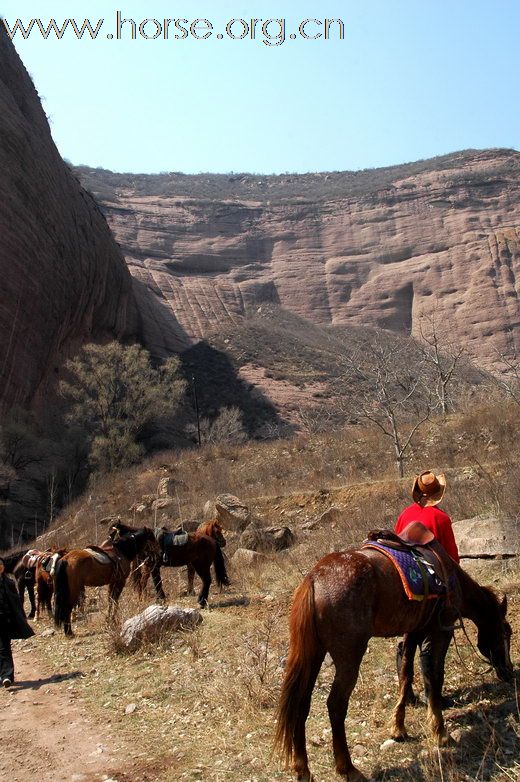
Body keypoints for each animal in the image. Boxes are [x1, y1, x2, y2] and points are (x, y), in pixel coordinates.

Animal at [274, 536, 512, 780]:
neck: (450, 575)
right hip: (349, 657)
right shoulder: (440, 631)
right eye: (506, 632)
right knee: (336, 705)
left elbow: (406, 674)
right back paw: (348, 768)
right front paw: (440, 732)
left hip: (314, 654)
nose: (509, 672)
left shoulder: (414, 631)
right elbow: (433, 676)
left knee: (301, 704)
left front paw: (399, 728)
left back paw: (303, 769)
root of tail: (313, 579)